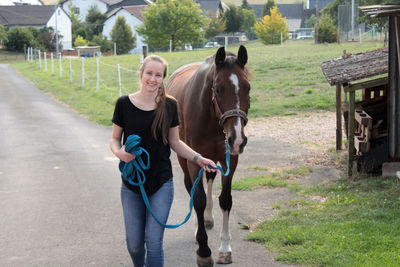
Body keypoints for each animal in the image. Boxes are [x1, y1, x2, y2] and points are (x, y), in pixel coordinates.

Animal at [166, 46, 250, 266]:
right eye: (218, 89)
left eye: (247, 87)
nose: (238, 139)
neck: (211, 118)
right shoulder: (194, 161)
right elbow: (198, 198)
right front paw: (204, 251)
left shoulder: (230, 160)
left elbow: (225, 199)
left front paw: (225, 248)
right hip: (184, 159)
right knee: (191, 188)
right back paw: (198, 226)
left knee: (210, 180)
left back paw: (208, 219)